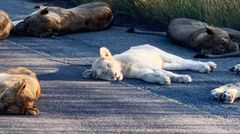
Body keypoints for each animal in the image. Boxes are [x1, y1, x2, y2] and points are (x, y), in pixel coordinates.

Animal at [83, 44, 217, 85]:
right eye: (103, 74)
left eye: (108, 65)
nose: (114, 76)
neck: (123, 68)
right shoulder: (140, 73)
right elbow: (148, 76)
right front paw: (163, 80)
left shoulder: (147, 64)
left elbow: (167, 73)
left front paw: (182, 78)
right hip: (166, 63)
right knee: (180, 65)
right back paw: (208, 66)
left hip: (164, 54)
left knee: (186, 61)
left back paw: (207, 66)